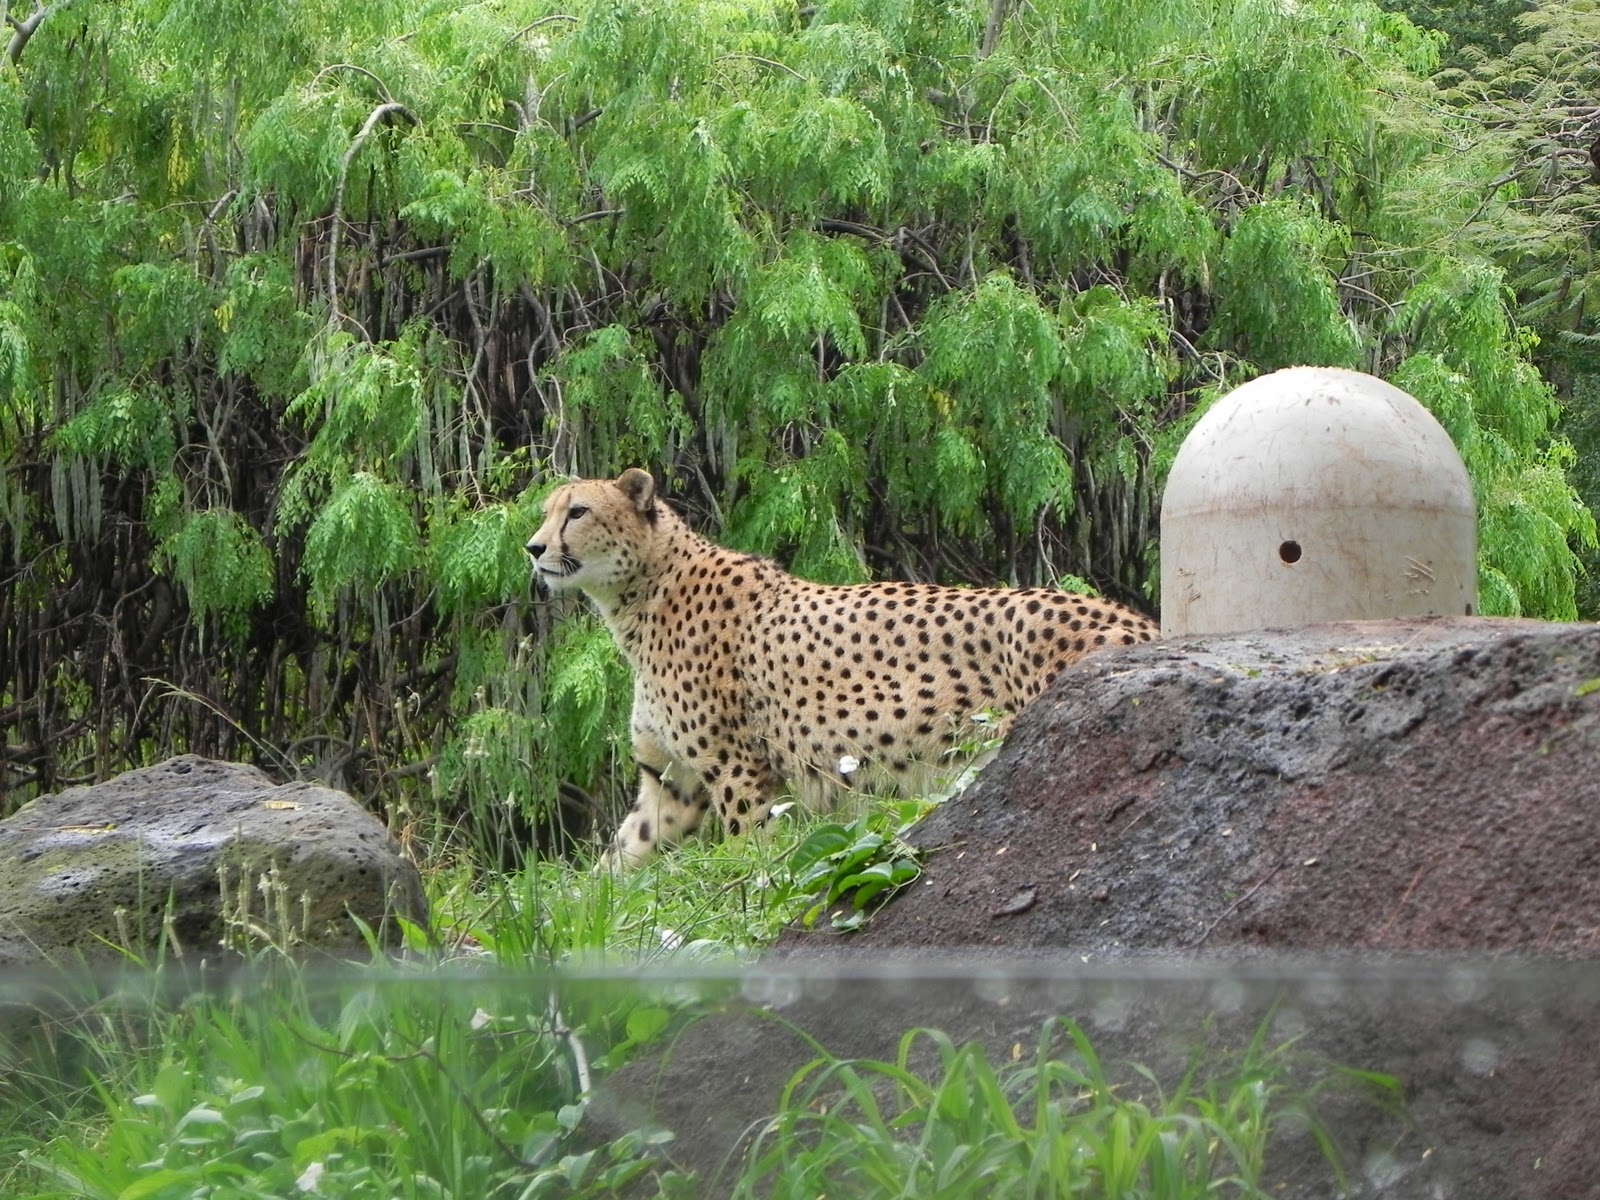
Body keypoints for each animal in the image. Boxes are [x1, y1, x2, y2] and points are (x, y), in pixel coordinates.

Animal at [531, 464, 1158, 870]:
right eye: (545, 513)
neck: (639, 592)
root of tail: (1135, 619)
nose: (533, 548)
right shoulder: (670, 783)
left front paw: (748, 883)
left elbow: (748, 850)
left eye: (578, 512)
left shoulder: (739, 770)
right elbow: (619, 861)